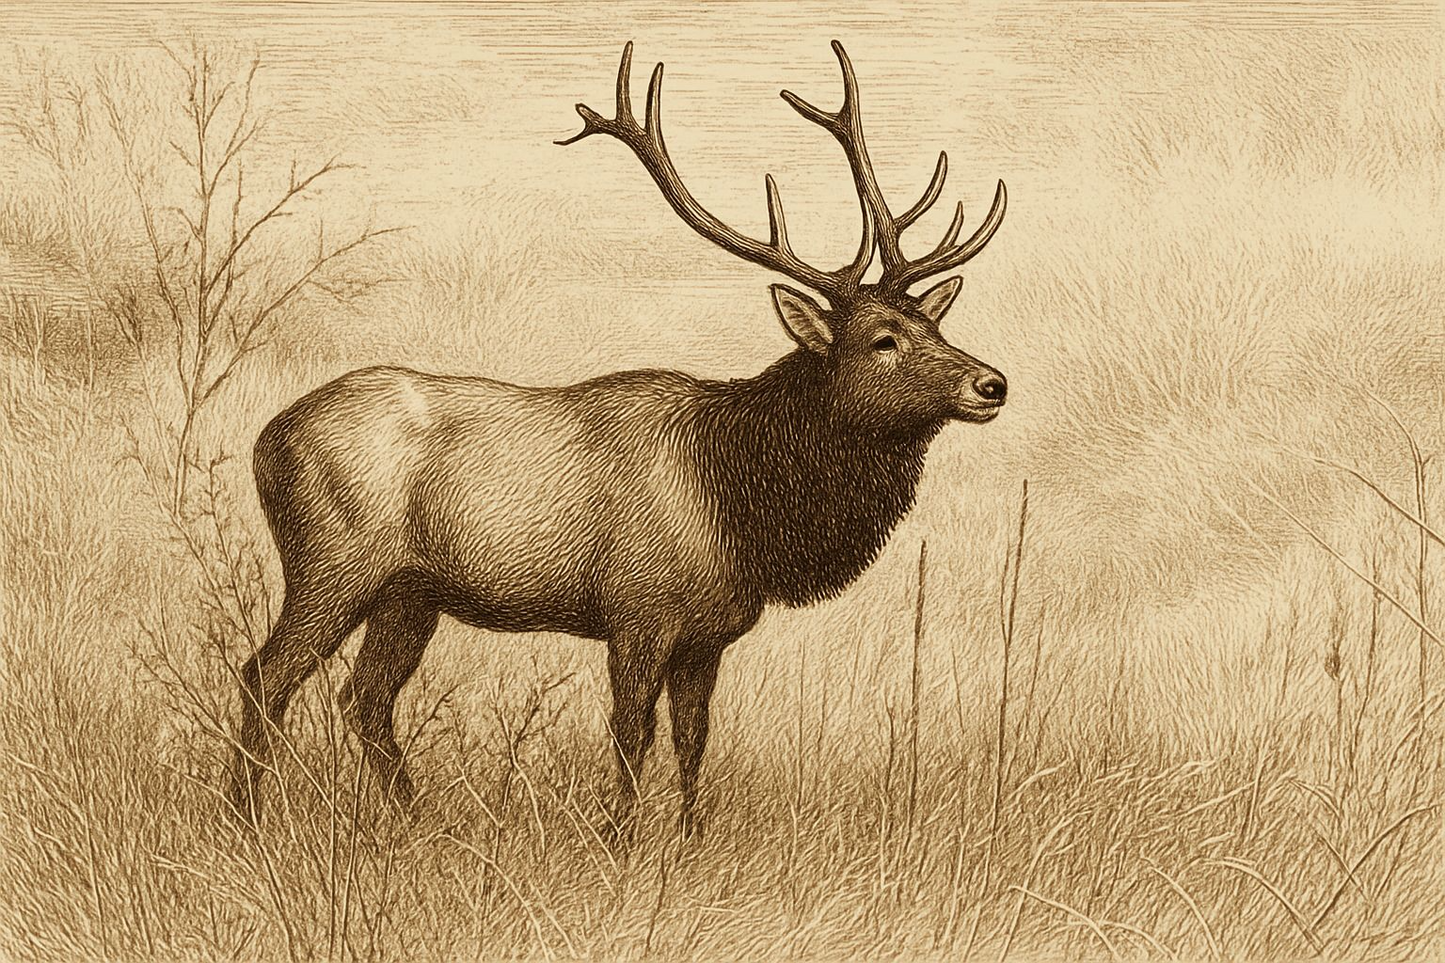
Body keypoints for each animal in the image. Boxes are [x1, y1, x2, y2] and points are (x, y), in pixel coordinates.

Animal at [227, 40, 1008, 840]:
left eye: (933, 324)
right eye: (883, 340)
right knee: (264, 674)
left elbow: (693, 736)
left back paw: (413, 823)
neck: (744, 509)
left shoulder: (708, 635)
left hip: (409, 591)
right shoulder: (637, 613)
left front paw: (690, 837)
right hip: (333, 564)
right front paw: (619, 839)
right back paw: (245, 820)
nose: (992, 383)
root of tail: (263, 440)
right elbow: (632, 731)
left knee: (365, 696)